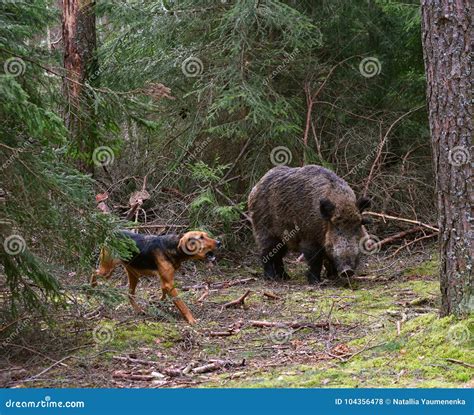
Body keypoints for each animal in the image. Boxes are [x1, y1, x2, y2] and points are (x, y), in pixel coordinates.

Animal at [91, 231, 221, 324]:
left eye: (206, 235)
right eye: (201, 237)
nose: (219, 242)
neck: (173, 247)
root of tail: (111, 233)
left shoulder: (165, 282)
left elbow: (163, 292)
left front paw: (158, 302)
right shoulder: (169, 283)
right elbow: (182, 304)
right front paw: (191, 320)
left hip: (133, 274)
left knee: (130, 294)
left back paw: (139, 310)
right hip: (107, 270)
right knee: (93, 272)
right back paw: (92, 286)